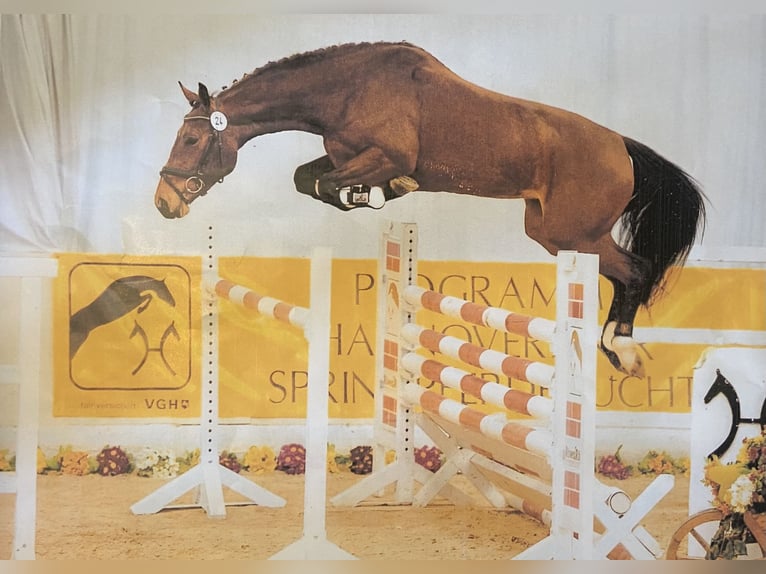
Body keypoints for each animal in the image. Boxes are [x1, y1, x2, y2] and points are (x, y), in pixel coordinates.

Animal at [154, 41, 706, 377]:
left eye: (192, 139)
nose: (163, 203)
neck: (346, 89)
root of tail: (621, 146)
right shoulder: (345, 155)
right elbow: (309, 179)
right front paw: (373, 195)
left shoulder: (383, 156)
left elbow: (333, 182)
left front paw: (380, 193)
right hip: (551, 232)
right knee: (623, 274)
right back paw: (612, 347)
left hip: (575, 233)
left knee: (636, 271)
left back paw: (625, 349)